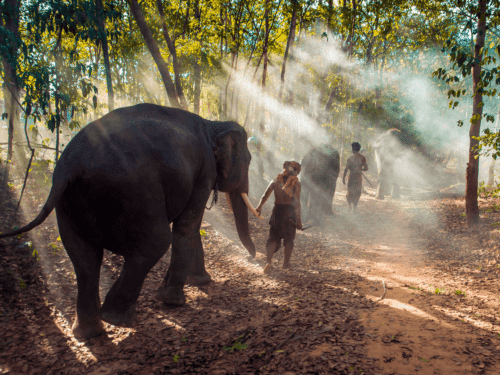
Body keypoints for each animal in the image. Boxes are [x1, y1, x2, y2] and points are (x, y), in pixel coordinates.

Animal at [0, 103, 262, 340]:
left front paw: (200, 282)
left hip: (68, 206)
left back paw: (89, 333)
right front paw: (174, 301)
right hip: (135, 192)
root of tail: (68, 167)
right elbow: (187, 226)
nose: (253, 258)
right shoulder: (205, 169)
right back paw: (117, 319)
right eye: (248, 161)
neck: (213, 124)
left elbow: (191, 226)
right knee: (156, 242)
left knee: (85, 260)